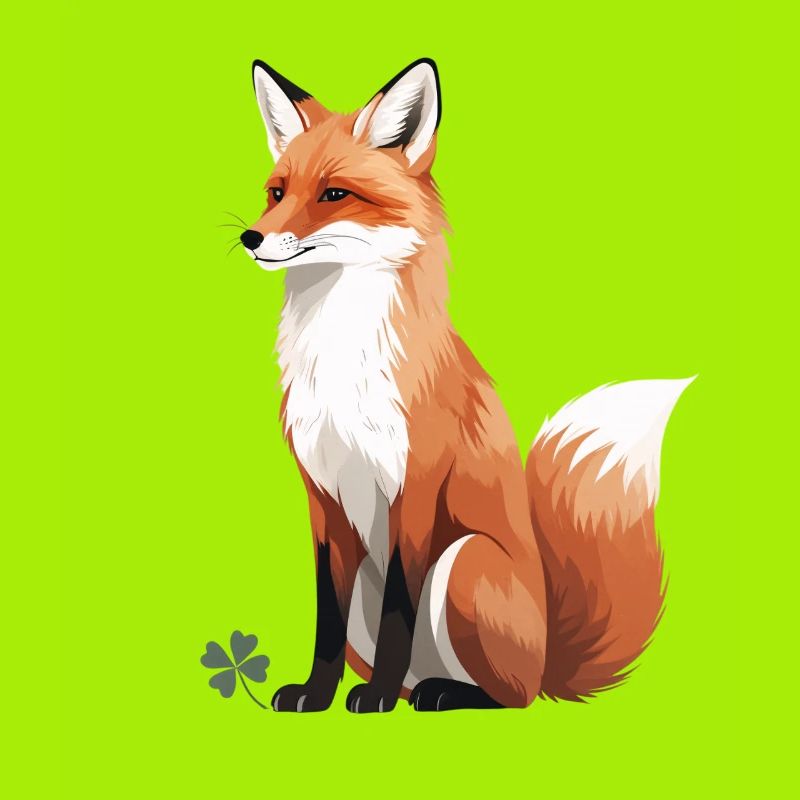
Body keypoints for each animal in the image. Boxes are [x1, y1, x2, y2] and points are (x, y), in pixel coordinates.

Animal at [239, 57, 692, 712]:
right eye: (277, 193)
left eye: (333, 194)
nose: (251, 237)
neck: (341, 363)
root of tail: (549, 658)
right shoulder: (321, 496)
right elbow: (327, 615)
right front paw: (316, 693)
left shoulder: (416, 485)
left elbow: (400, 607)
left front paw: (372, 699)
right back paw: (409, 690)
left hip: (465, 559)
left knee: (511, 695)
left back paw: (436, 693)